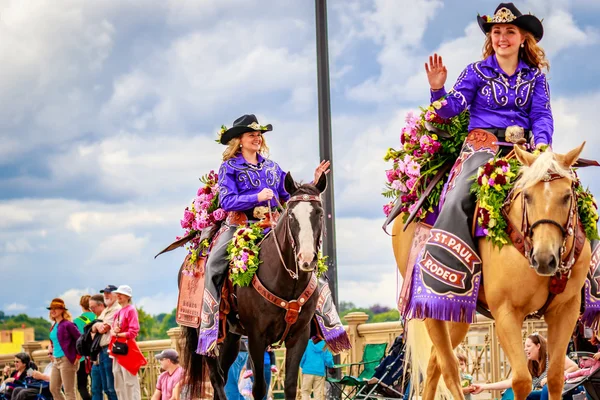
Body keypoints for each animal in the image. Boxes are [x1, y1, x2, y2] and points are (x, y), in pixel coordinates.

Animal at [182, 173, 326, 400]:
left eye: (319, 214)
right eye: (291, 215)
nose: (307, 259)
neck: (287, 282)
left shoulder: (299, 336)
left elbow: (290, 385)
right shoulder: (256, 337)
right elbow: (259, 387)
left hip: (231, 338)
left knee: (223, 375)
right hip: (204, 337)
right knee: (216, 378)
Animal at [392, 145, 592, 400]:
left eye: (567, 196)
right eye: (527, 196)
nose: (544, 259)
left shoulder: (565, 311)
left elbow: (556, 377)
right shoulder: (506, 312)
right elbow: (521, 381)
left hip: (457, 311)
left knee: (435, 363)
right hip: (432, 304)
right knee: (449, 367)